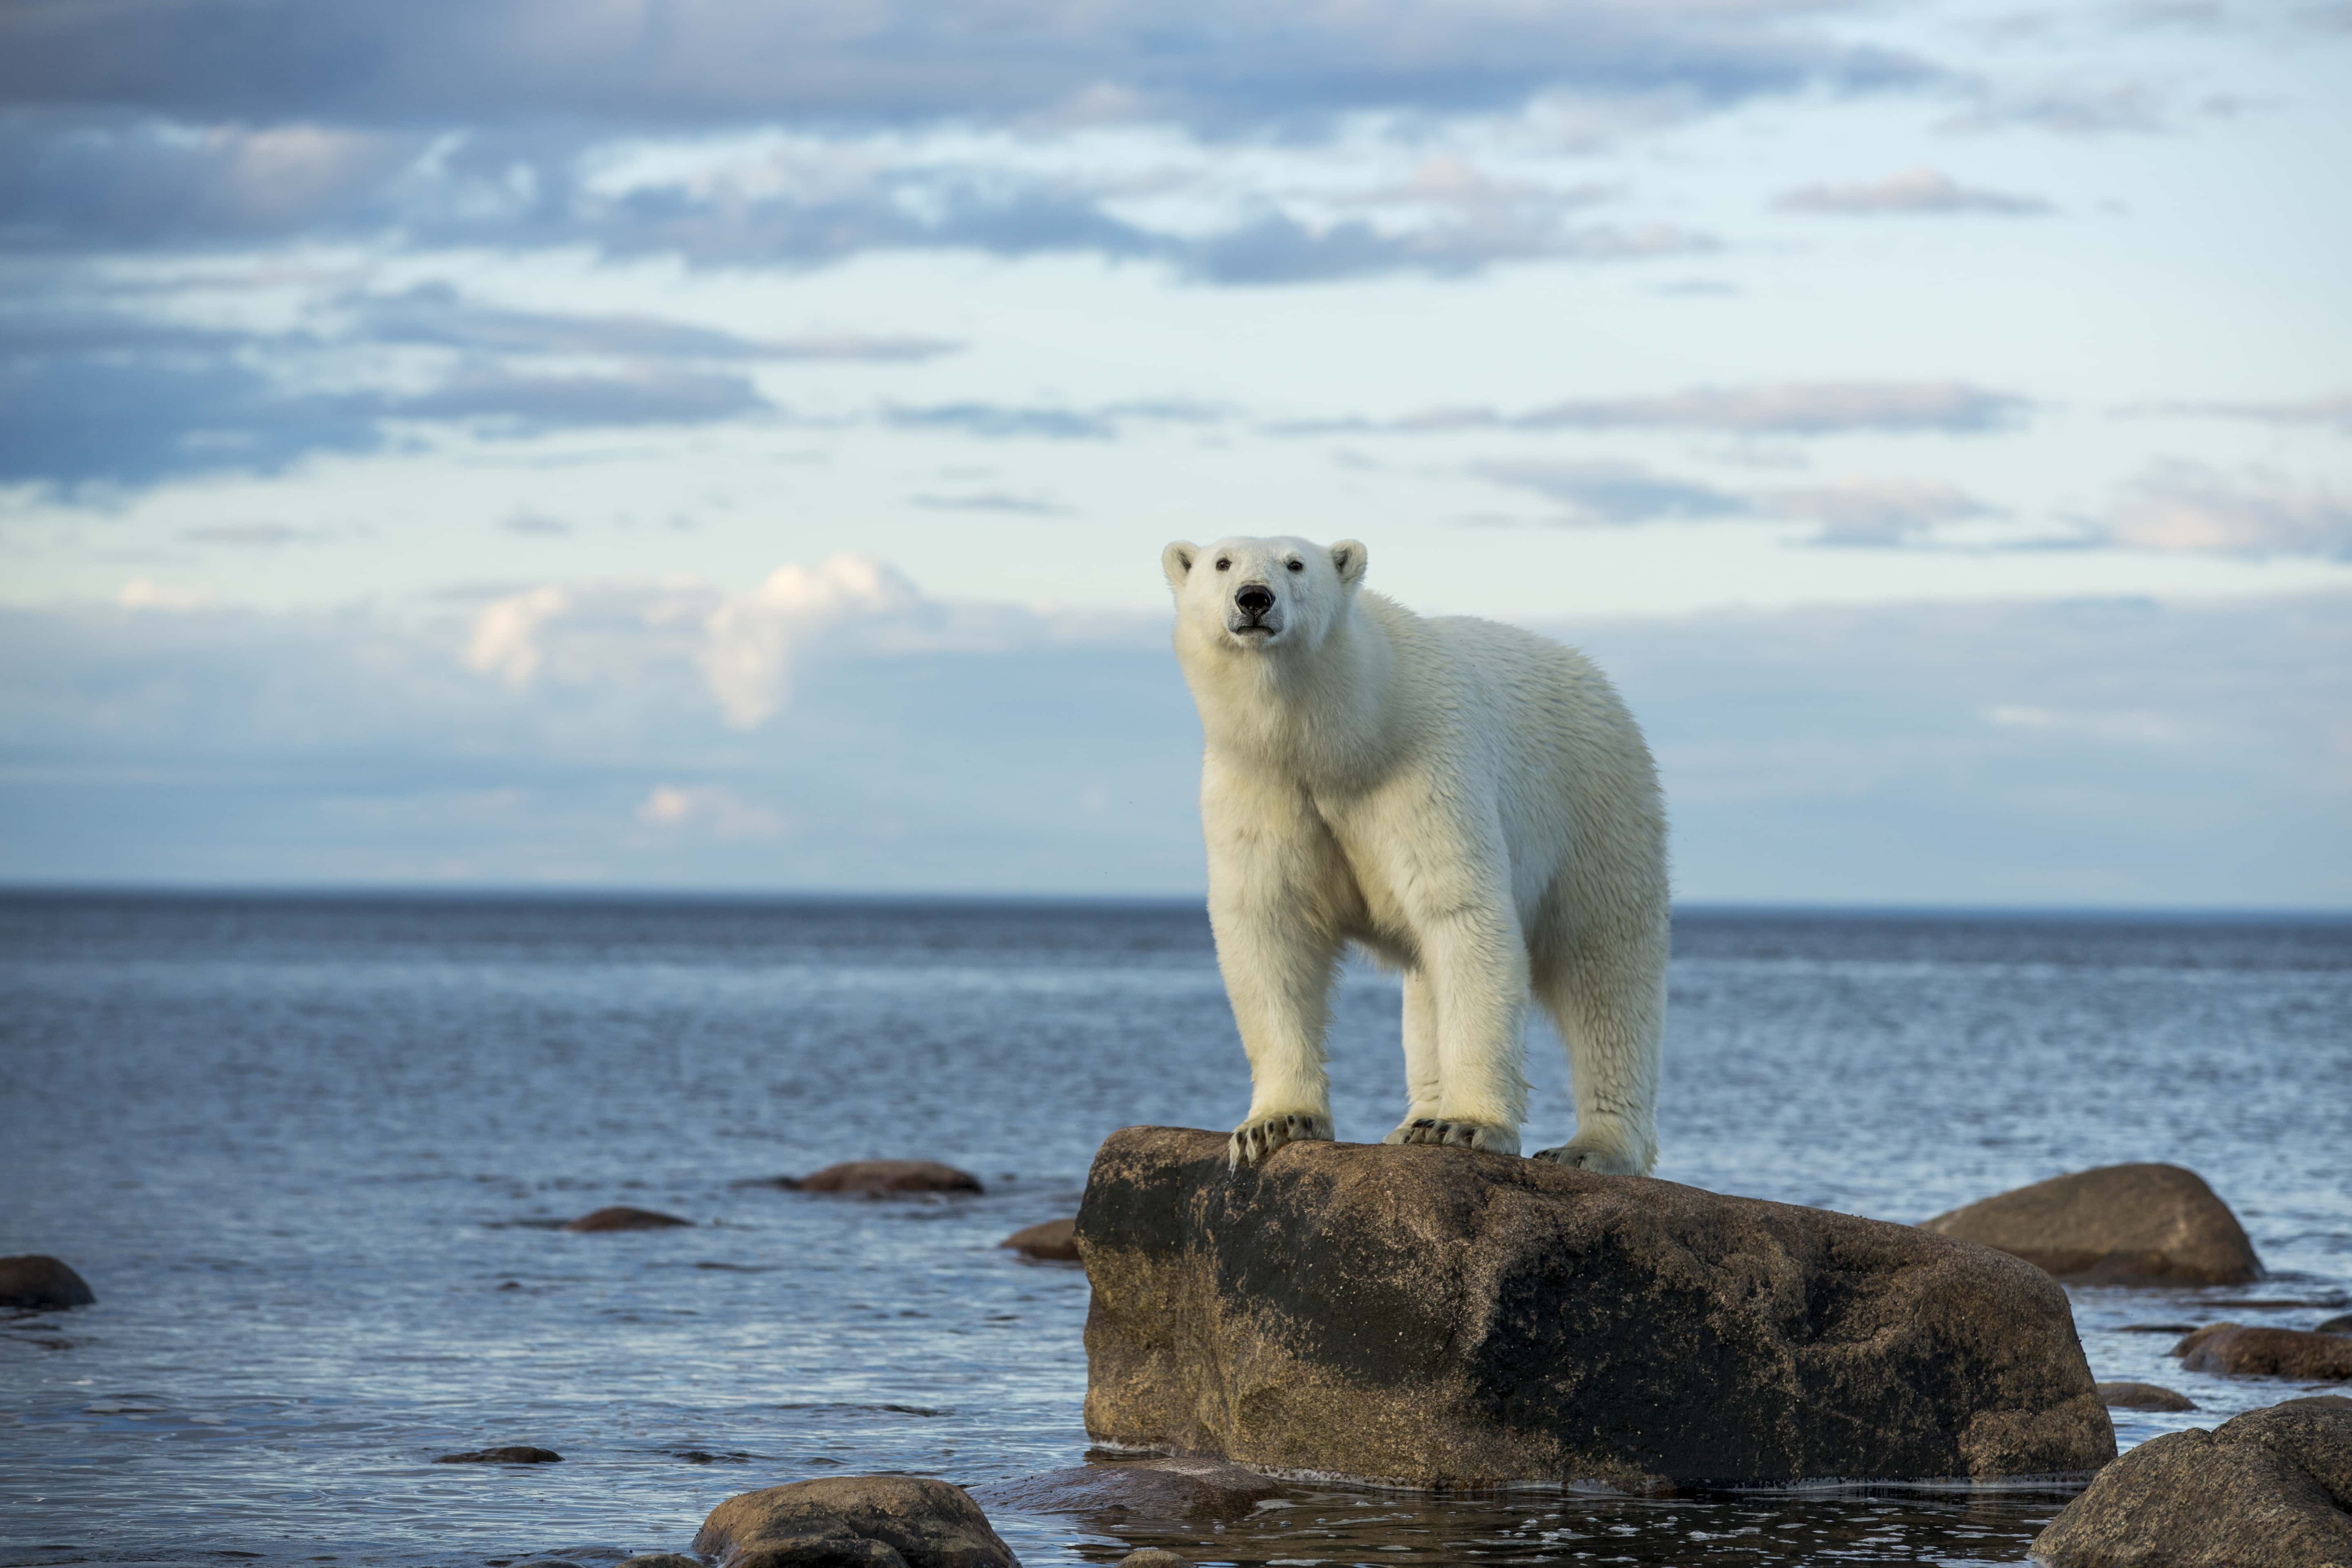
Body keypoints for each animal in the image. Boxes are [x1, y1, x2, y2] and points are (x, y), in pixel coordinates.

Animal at [1162, 534, 1668, 1175]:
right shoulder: (1259, 789)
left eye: (1296, 563)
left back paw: (1592, 1147)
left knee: (1606, 974)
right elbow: (1268, 928)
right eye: (1222, 563)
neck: (1343, 738)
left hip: (1598, 807)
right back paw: (1416, 1122)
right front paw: (1274, 1124)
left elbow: (1463, 915)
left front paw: (1468, 1125)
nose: (1254, 598)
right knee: (1430, 983)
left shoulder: (1426, 768)